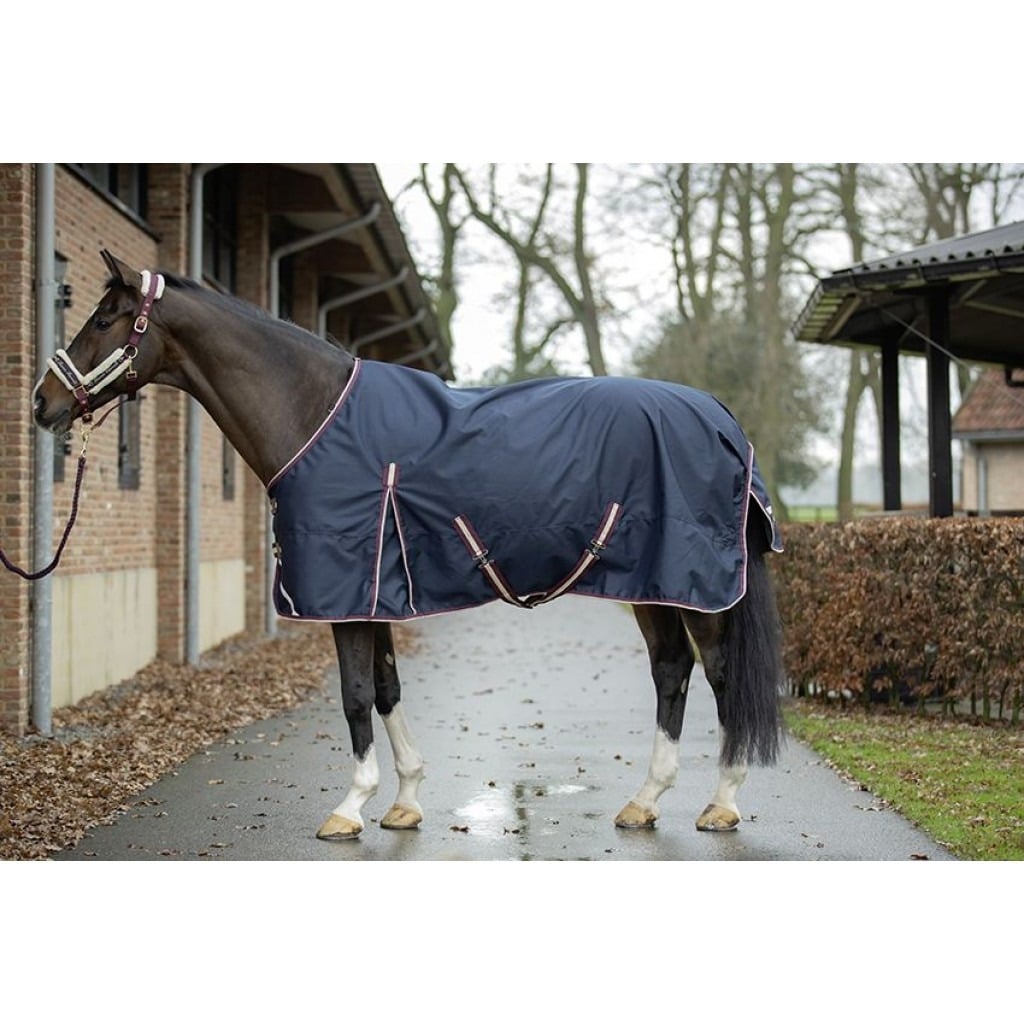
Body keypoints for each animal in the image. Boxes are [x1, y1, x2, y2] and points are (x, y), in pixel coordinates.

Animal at [32, 251, 785, 842]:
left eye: (104, 319)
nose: (42, 403)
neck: (312, 413)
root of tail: (721, 417)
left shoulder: (347, 595)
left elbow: (355, 694)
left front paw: (350, 806)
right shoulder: (375, 592)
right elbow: (389, 687)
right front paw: (406, 800)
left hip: (694, 587)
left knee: (719, 675)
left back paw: (721, 803)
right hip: (653, 587)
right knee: (671, 671)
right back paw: (644, 801)